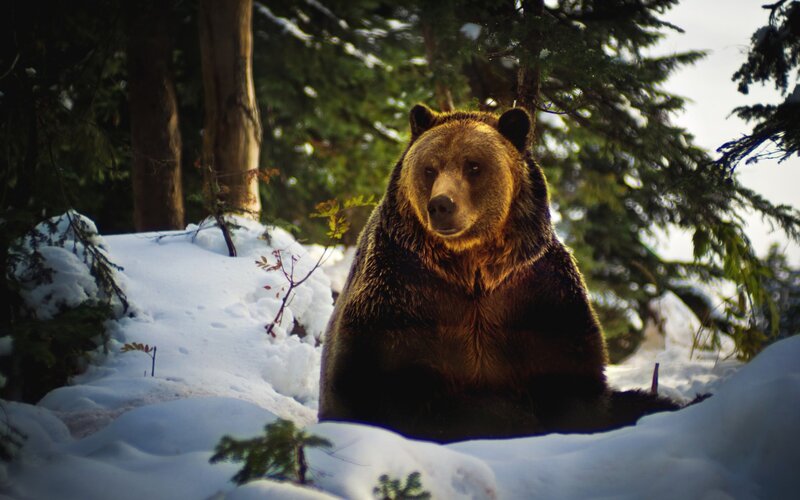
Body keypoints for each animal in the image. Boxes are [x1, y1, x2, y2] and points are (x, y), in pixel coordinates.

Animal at [318, 104, 678, 442]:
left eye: (473, 165)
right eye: (429, 168)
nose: (441, 205)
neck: (472, 267)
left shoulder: (537, 293)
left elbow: (572, 378)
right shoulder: (401, 289)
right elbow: (374, 380)